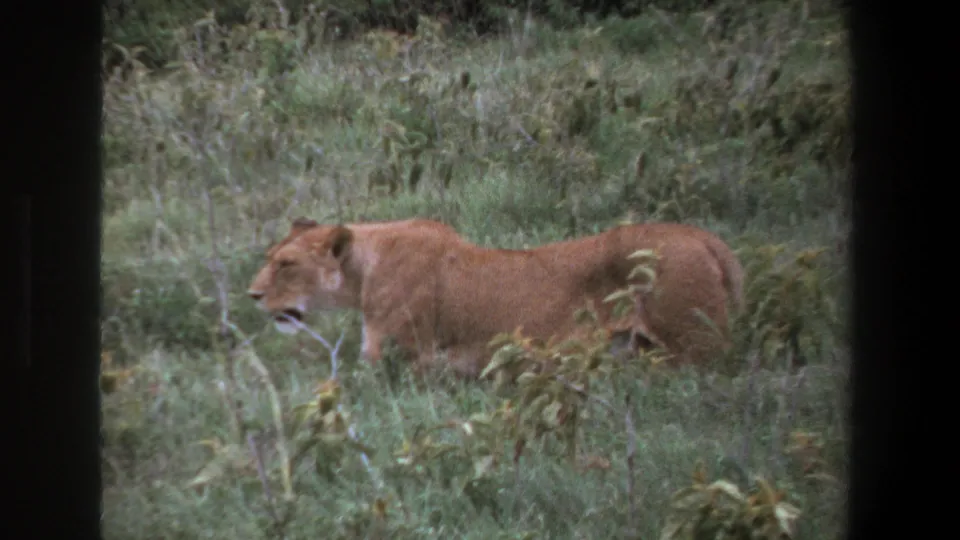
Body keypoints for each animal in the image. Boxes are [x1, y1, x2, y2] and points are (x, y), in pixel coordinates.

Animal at [247, 217, 744, 379]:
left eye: (286, 264)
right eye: (270, 257)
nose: (252, 295)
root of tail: (705, 238)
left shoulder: (400, 361)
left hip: (694, 350)